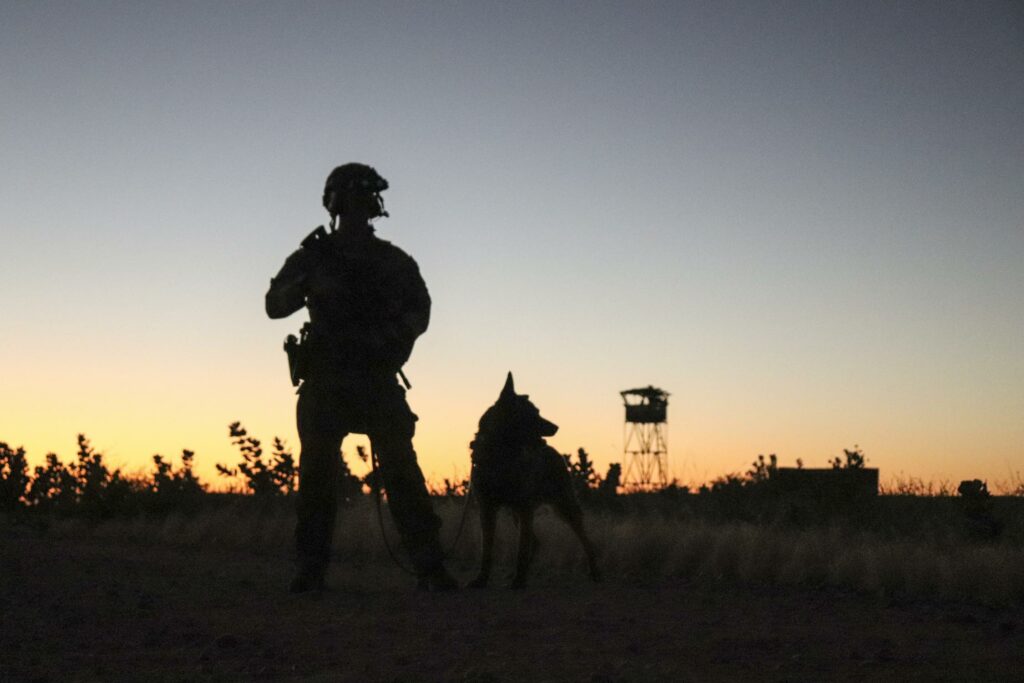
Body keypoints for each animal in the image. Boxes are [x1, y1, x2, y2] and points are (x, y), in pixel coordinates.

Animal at [468, 370, 602, 589]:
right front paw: (481, 579)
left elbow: (521, 549)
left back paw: (595, 572)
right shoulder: (487, 508)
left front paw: (519, 581)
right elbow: (486, 551)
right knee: (536, 542)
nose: (556, 427)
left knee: (586, 541)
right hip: (519, 512)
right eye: (533, 414)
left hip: (564, 508)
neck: (501, 455)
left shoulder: (523, 507)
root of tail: (555, 453)